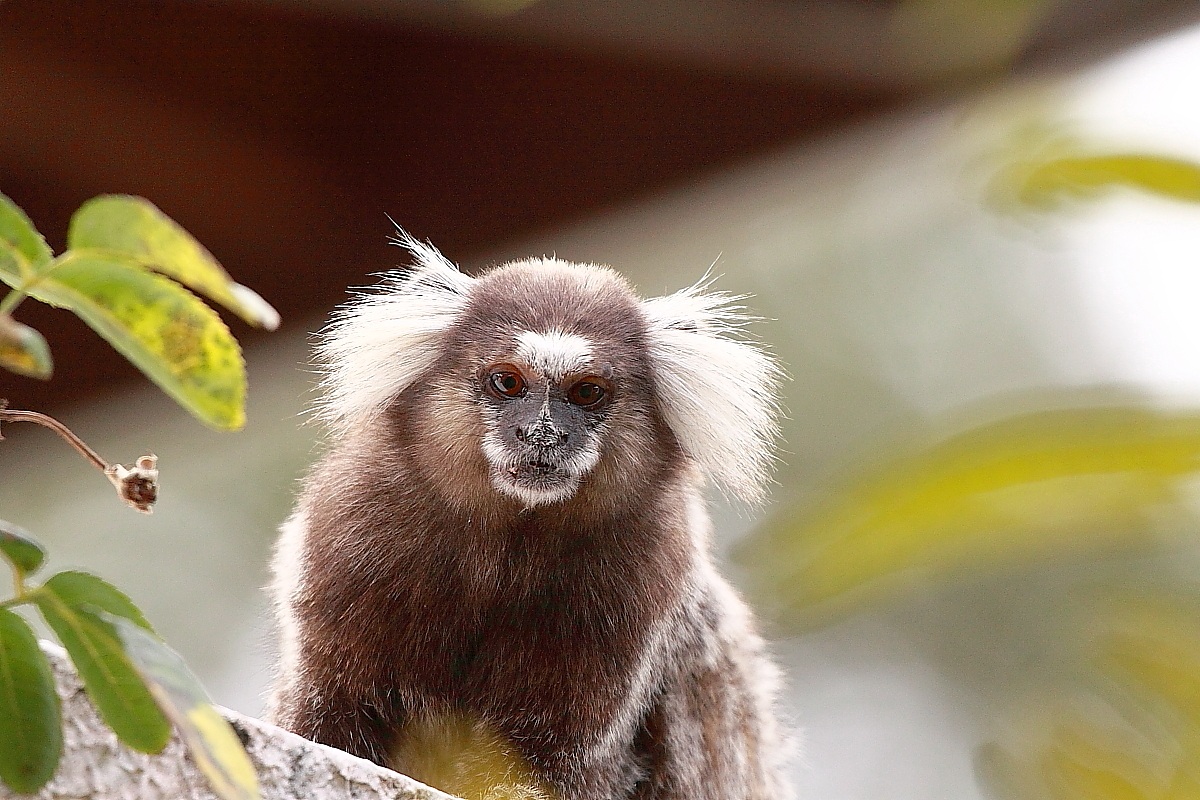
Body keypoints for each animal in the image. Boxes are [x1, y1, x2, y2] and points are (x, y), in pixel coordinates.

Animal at [267, 232, 795, 800]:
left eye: (586, 391)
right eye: (508, 383)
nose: (542, 434)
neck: (504, 542)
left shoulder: (645, 573)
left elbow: (553, 757)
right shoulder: (351, 529)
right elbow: (332, 708)